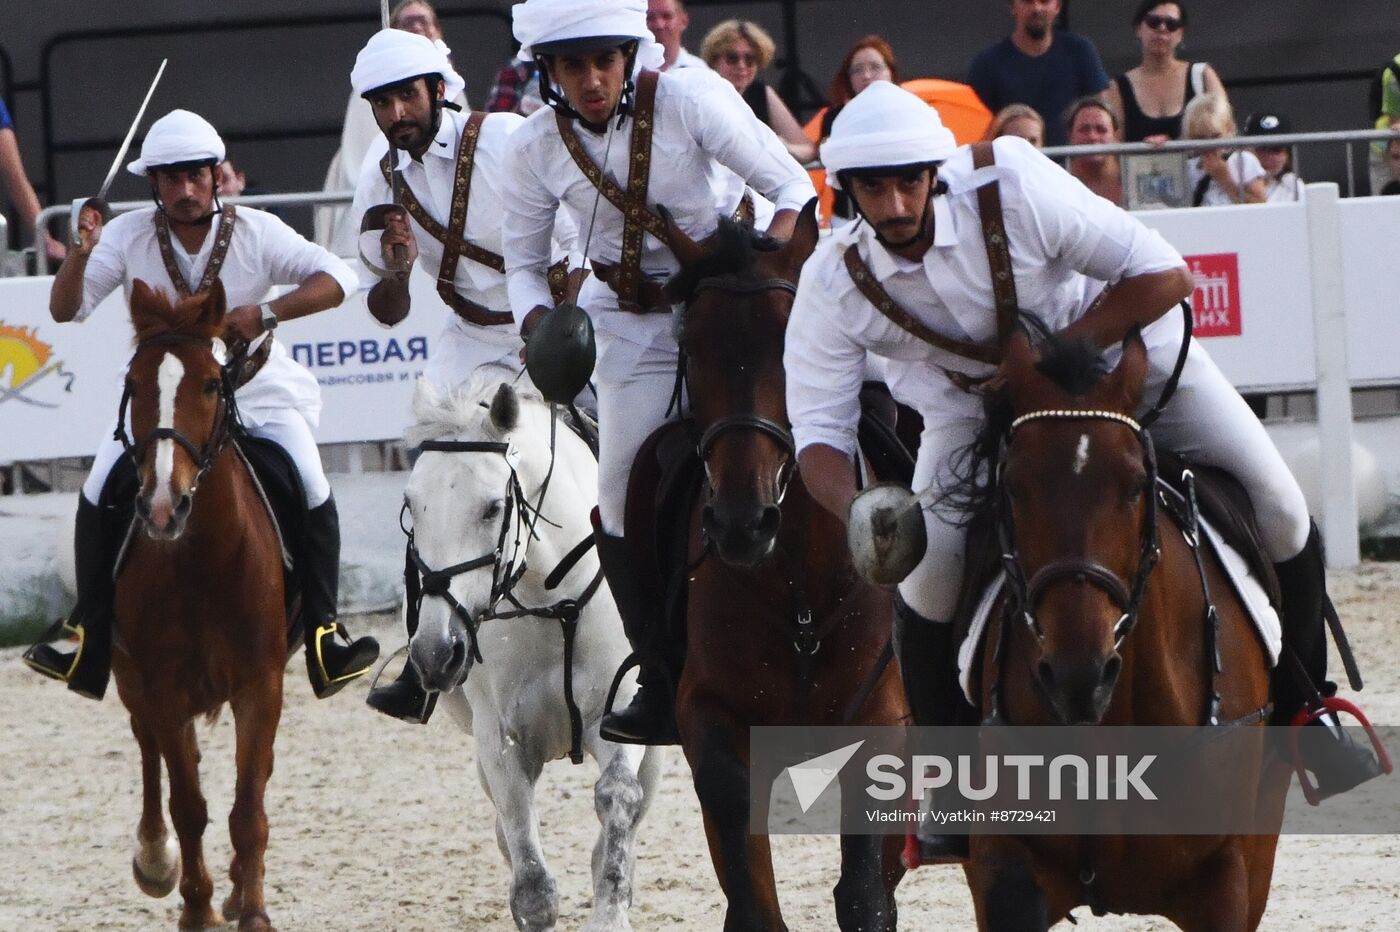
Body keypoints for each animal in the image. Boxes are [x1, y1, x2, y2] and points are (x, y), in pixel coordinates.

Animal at [111, 281, 292, 929]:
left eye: (214, 383)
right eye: (134, 384)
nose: (163, 507)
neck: (202, 566)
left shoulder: (261, 682)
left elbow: (248, 805)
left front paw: (252, 909)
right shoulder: (162, 686)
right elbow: (188, 804)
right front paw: (194, 907)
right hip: (132, 677)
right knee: (148, 748)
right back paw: (155, 859)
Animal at [658, 202, 901, 929]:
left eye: (794, 347)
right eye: (691, 350)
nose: (742, 522)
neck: (798, 585)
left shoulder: (882, 717)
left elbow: (865, 893)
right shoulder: (708, 711)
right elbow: (747, 871)